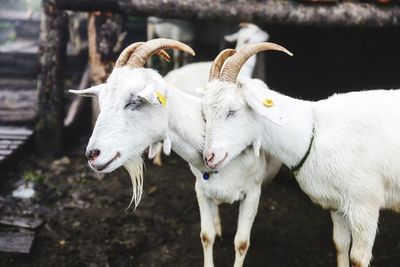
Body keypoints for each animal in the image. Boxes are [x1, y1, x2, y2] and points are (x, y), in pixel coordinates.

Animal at [69, 39, 282, 267]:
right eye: (101, 102)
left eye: (133, 102)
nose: (92, 154)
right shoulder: (201, 189)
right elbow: (206, 236)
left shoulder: (253, 192)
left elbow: (241, 243)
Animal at [202, 42, 400, 267]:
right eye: (205, 115)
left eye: (232, 110)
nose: (209, 157)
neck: (314, 131)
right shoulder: (338, 205)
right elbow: (340, 246)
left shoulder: (364, 205)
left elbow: (357, 259)